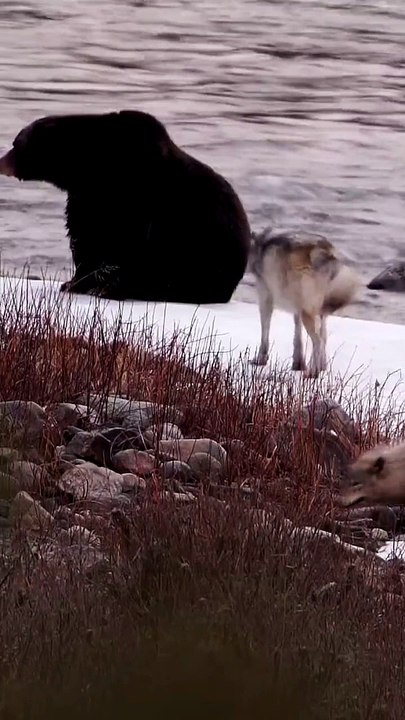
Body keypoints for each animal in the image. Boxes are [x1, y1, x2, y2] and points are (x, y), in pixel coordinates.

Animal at [0, 110, 251, 304]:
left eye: (16, 143)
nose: (1, 161)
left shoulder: (132, 193)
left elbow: (127, 243)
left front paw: (106, 288)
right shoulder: (87, 197)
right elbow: (85, 237)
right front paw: (73, 283)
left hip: (204, 251)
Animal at [249, 227, 360, 378]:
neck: (260, 244)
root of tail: (326, 251)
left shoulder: (265, 297)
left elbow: (265, 331)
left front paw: (261, 359)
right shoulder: (297, 308)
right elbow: (298, 337)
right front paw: (298, 364)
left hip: (308, 313)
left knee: (318, 341)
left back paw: (313, 373)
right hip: (318, 312)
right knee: (323, 338)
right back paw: (321, 368)